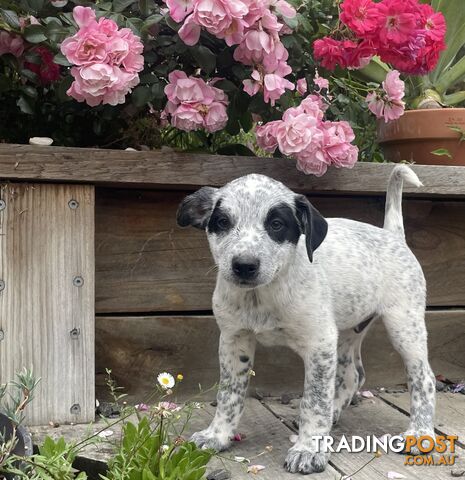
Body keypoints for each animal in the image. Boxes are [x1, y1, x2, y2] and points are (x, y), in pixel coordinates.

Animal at [177, 166, 436, 476]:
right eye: (223, 222)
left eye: (276, 224)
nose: (244, 265)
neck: (263, 295)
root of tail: (392, 235)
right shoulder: (233, 340)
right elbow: (229, 394)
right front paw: (217, 435)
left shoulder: (318, 343)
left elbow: (315, 401)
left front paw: (309, 449)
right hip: (346, 332)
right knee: (353, 375)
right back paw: (335, 412)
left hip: (404, 327)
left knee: (424, 378)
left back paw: (420, 433)